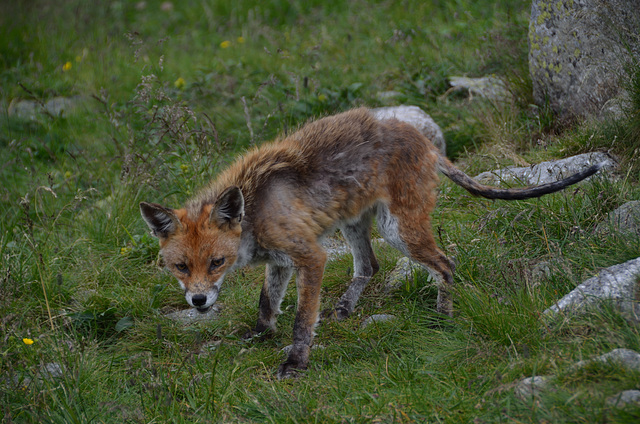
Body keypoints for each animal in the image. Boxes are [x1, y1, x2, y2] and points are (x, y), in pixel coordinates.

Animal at [139, 107, 600, 378]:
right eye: (181, 267)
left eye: (216, 263)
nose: (199, 301)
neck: (254, 212)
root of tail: (422, 138)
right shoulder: (281, 260)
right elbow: (267, 304)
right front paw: (259, 335)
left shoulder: (311, 256)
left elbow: (301, 320)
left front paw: (295, 362)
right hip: (355, 225)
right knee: (369, 266)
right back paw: (346, 308)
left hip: (400, 231)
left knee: (446, 264)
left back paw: (442, 318)